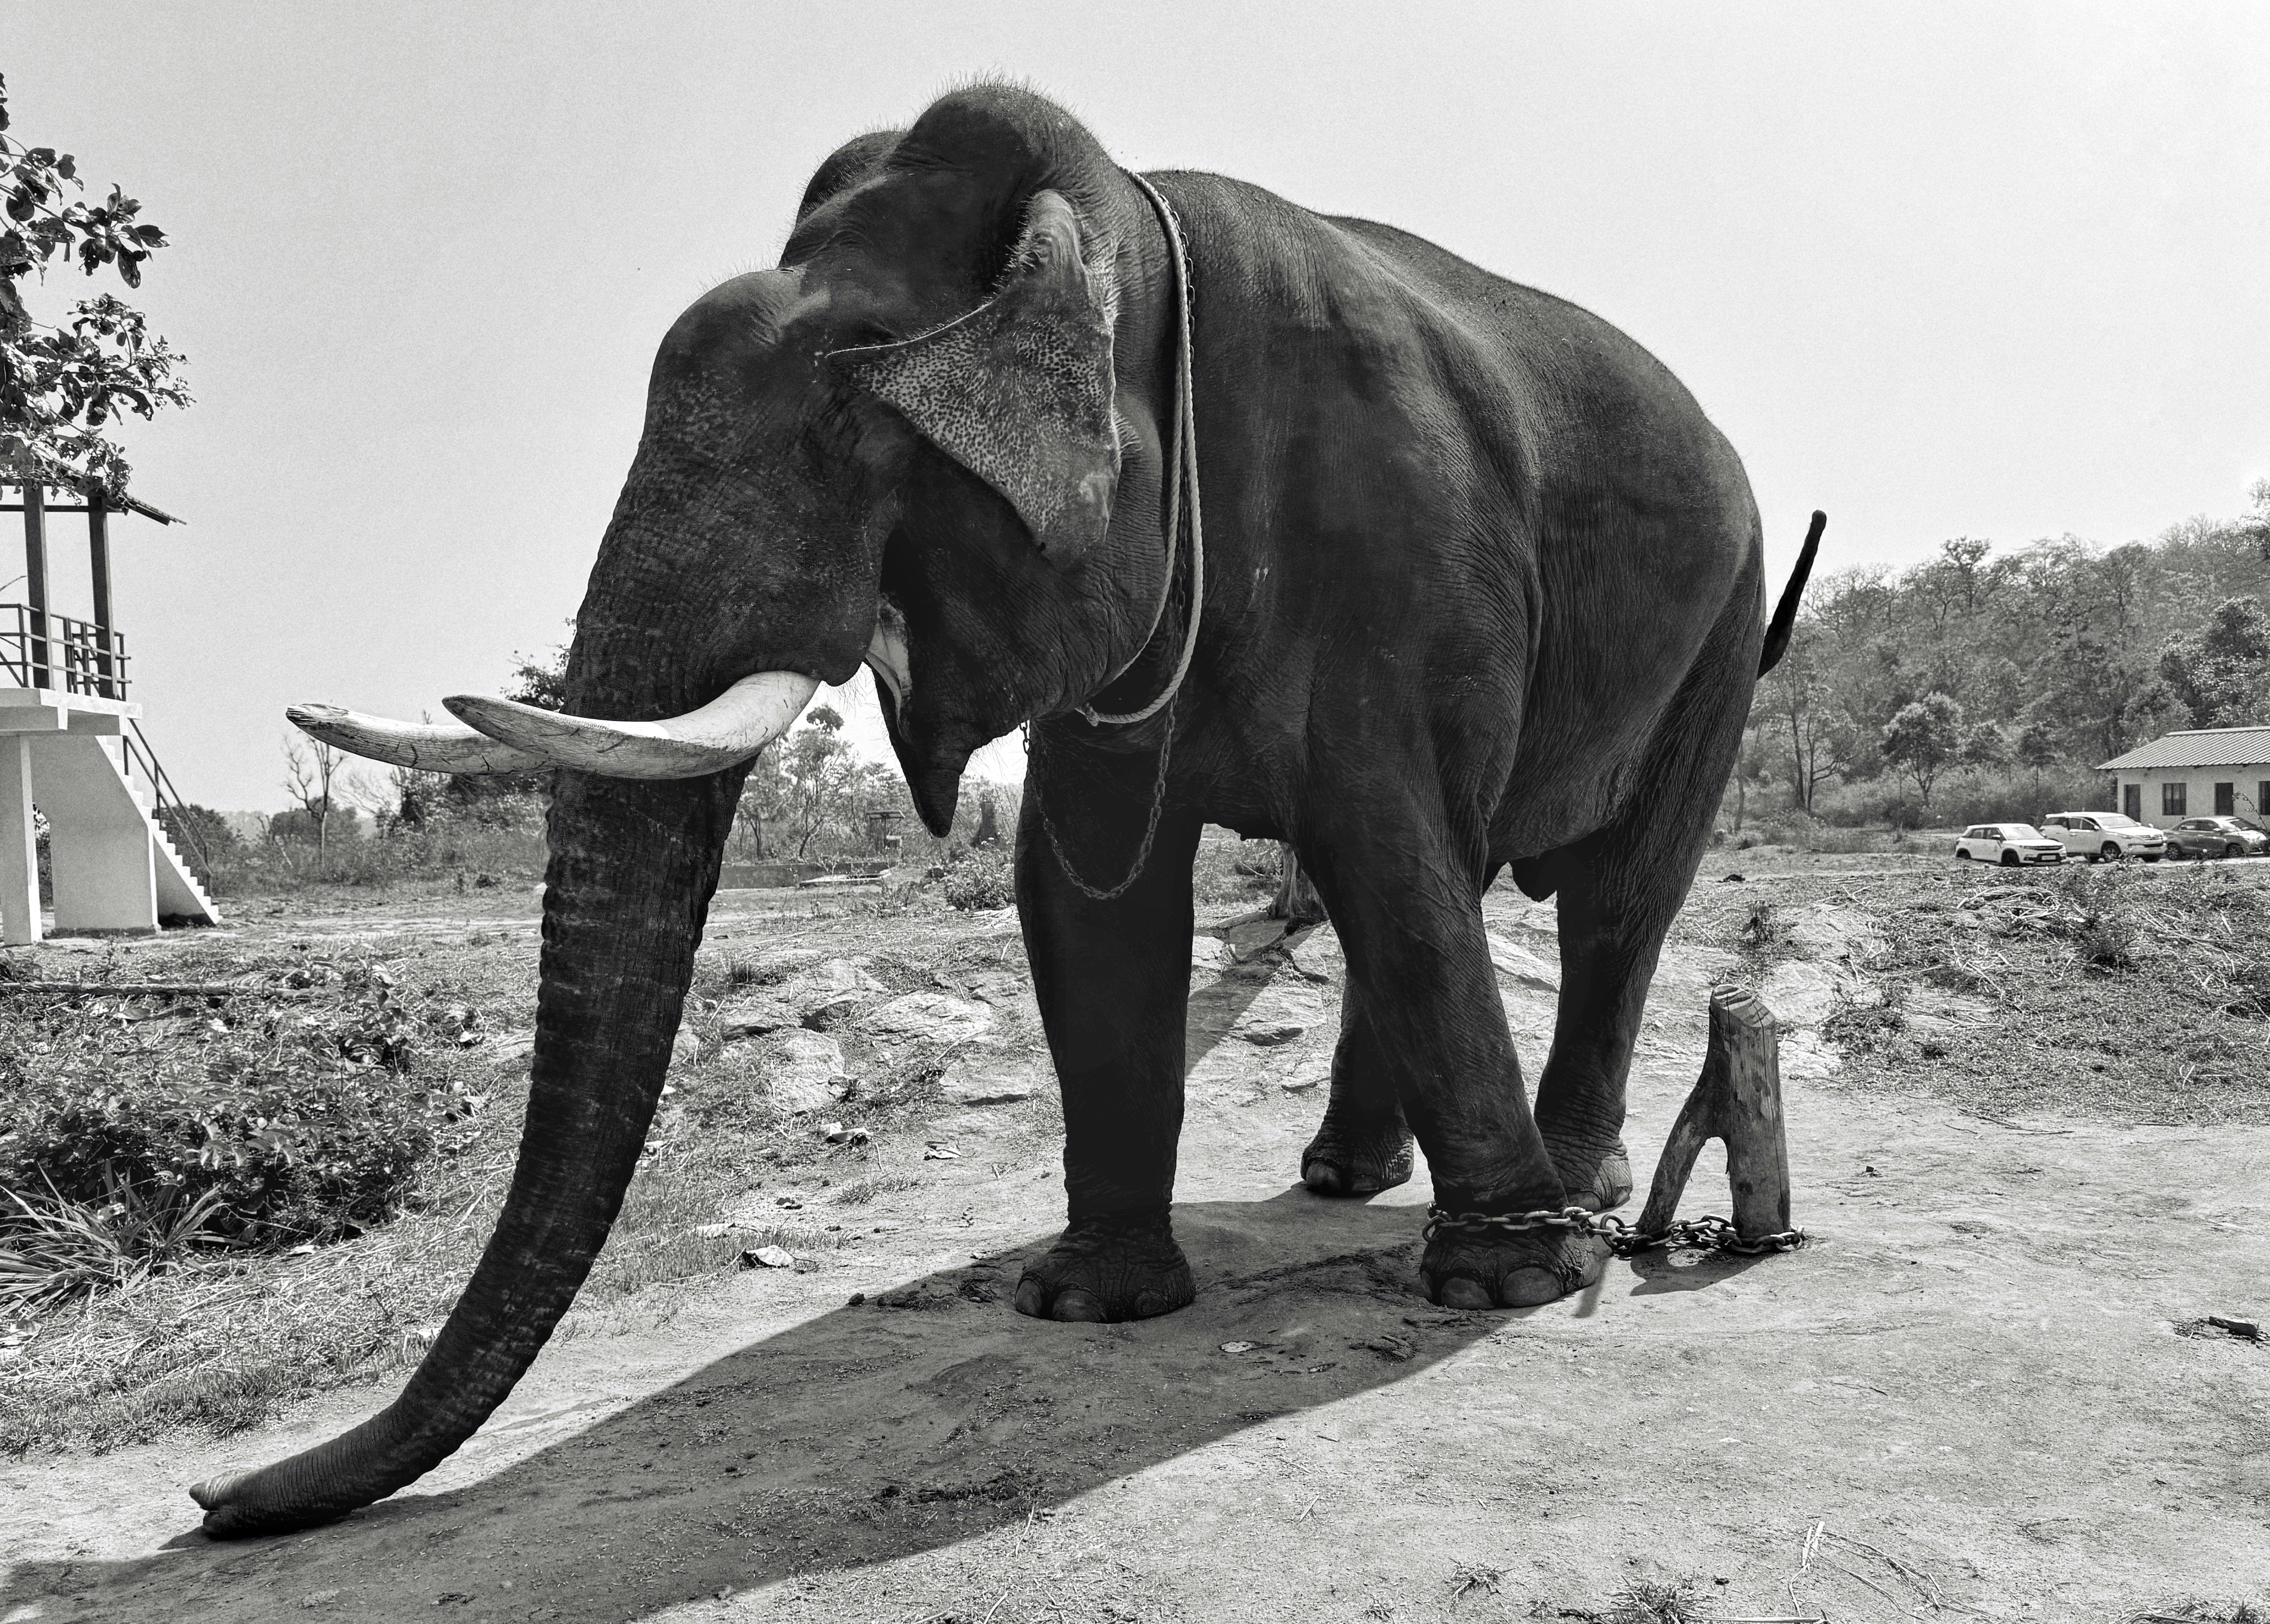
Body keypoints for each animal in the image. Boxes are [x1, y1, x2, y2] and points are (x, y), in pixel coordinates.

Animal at [194, 82, 1818, 1537]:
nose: (212, 1502)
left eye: (842, 421)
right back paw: (1344, 1181)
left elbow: (1386, 851)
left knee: (1611, 899)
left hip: (1723, 630)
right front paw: (1083, 1303)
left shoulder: (1389, 543)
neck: (1119, 229)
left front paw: (1503, 1289)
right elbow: (1089, 894)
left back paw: (1570, 1187)